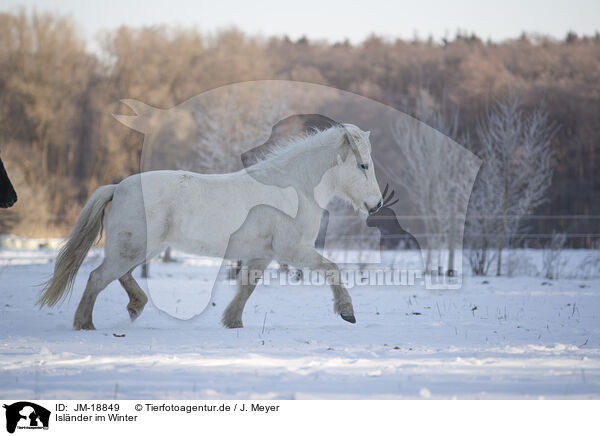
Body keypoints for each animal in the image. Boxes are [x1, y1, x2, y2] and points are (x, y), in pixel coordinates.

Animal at [38, 122, 384, 328]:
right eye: (363, 165)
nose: (376, 204)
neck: (295, 187)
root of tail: (118, 187)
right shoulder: (293, 250)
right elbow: (332, 268)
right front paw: (347, 312)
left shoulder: (263, 254)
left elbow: (247, 286)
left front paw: (232, 322)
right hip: (132, 248)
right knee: (98, 278)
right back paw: (85, 324)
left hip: (141, 249)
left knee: (120, 276)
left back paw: (136, 306)